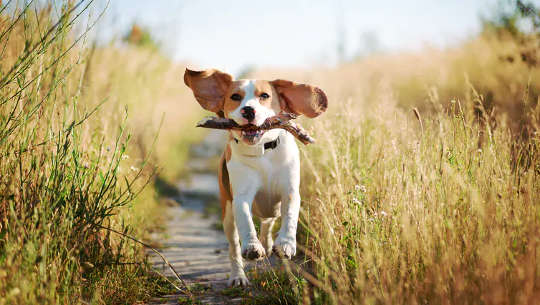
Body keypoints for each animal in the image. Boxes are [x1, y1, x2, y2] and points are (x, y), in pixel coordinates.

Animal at [184, 68, 326, 284]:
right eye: (235, 97)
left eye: (265, 96)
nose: (248, 111)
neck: (262, 151)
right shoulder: (241, 197)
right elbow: (246, 221)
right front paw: (252, 246)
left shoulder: (290, 191)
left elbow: (290, 215)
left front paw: (286, 243)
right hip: (227, 215)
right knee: (234, 247)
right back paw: (238, 276)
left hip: (271, 209)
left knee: (269, 222)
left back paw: (269, 244)